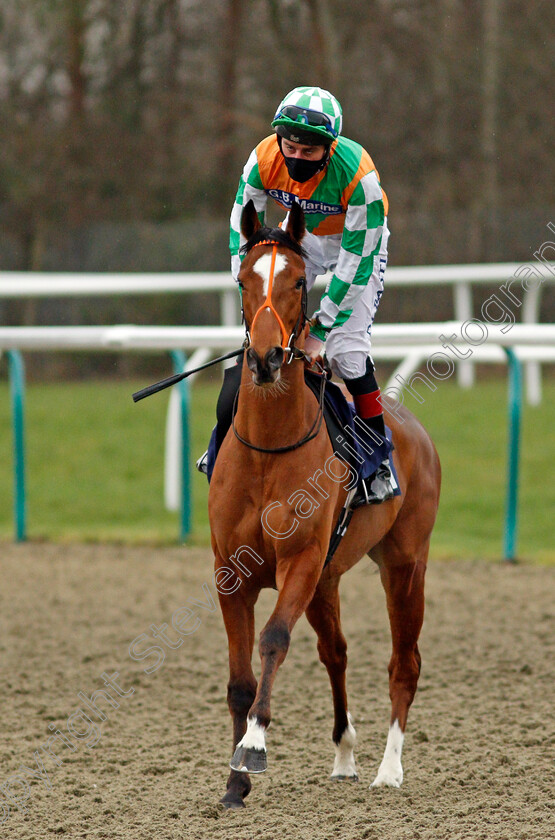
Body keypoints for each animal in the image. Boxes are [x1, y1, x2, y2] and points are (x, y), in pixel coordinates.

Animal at [208, 200, 444, 812]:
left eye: (298, 282)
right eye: (243, 281)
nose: (266, 358)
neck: (269, 447)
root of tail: (412, 426)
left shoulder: (300, 561)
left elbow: (273, 639)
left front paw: (254, 746)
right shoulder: (230, 572)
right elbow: (239, 679)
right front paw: (234, 782)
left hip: (403, 564)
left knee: (404, 662)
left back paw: (389, 768)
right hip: (329, 579)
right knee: (335, 652)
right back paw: (344, 756)